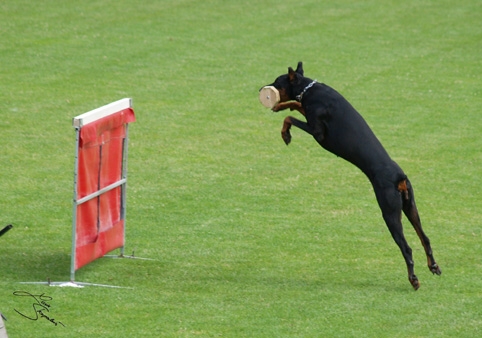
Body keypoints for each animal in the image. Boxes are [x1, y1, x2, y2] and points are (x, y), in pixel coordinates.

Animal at [264, 62, 440, 290]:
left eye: (277, 82)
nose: (263, 89)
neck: (309, 89)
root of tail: (398, 176)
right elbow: (296, 105)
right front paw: (282, 107)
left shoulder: (317, 132)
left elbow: (291, 116)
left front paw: (285, 132)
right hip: (410, 206)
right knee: (425, 238)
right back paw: (433, 266)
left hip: (390, 212)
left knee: (407, 248)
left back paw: (413, 279)